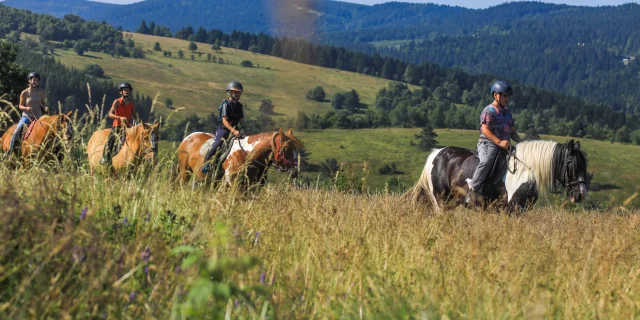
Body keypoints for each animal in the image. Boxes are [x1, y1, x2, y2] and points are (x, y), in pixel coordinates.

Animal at [176, 127, 304, 188]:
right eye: (286, 148)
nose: (295, 169)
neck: (247, 154)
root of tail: (188, 137)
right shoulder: (230, 183)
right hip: (185, 171)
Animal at [410, 139, 592, 212]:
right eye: (571, 163)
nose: (581, 194)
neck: (524, 173)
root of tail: (437, 154)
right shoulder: (510, 209)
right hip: (441, 202)